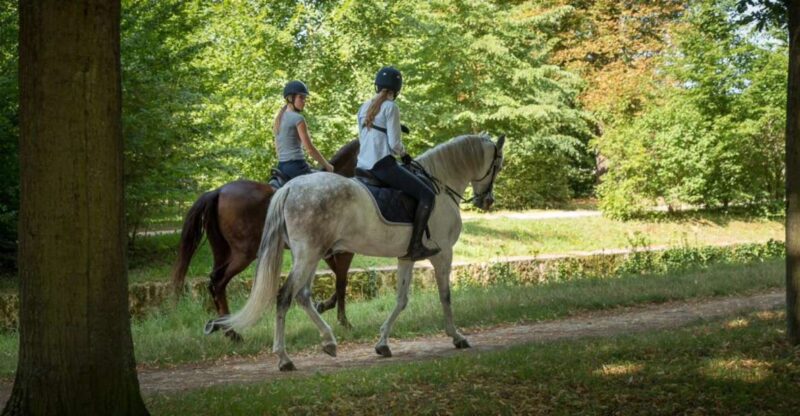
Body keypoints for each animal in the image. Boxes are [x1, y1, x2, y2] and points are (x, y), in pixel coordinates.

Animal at [172, 139, 360, 341]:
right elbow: (341, 281)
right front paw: (344, 321)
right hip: (244, 254)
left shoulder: (325, 252)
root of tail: (218, 191)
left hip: (223, 252)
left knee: (214, 283)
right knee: (218, 282)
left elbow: (338, 278)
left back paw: (227, 329)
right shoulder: (343, 252)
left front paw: (325, 306)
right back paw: (231, 332)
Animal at [207, 133, 505, 370]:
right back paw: (283, 358)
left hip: (311, 254)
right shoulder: (442, 255)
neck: (439, 185)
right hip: (302, 255)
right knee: (283, 296)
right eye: (498, 165)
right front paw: (457, 336)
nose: (487, 201)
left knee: (302, 296)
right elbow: (445, 296)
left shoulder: (406, 257)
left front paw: (383, 343)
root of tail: (291, 187)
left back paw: (328, 341)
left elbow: (401, 300)